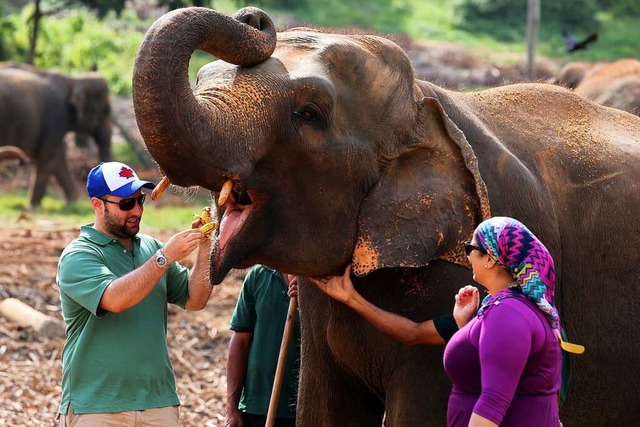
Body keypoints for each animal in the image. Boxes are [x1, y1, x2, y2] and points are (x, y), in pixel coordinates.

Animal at [0, 63, 112, 209]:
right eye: (103, 111)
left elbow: (59, 158)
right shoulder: (56, 118)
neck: (73, 80)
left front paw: (73, 203)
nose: (22, 161)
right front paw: (33, 207)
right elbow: (48, 156)